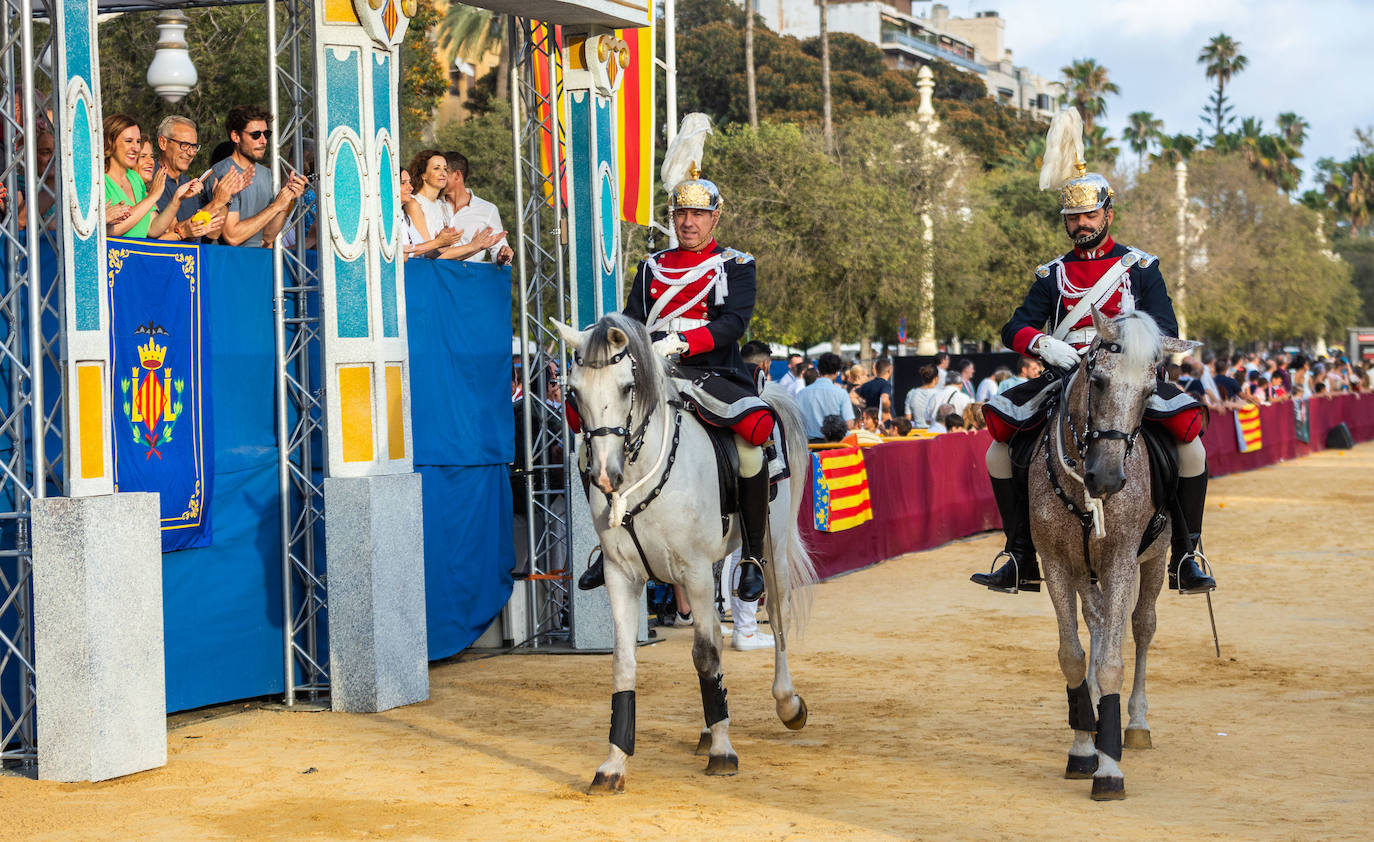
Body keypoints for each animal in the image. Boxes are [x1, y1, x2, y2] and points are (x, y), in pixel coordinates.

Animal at [555, 311, 813, 791]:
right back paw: (712, 722)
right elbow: (624, 662)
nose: (605, 475)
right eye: (574, 392)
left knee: (778, 617)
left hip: (770, 547)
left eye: (626, 387)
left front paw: (723, 751)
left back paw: (786, 703)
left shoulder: (692, 571)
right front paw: (614, 762)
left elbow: (706, 655)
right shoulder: (622, 576)